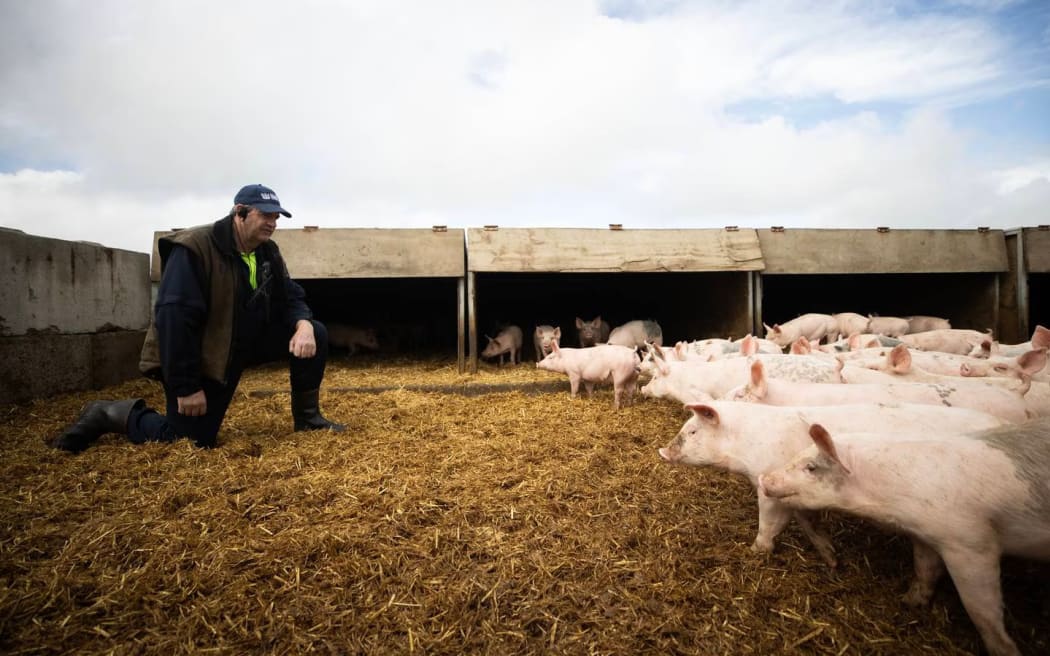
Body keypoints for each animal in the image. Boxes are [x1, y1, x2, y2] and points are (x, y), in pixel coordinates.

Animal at [655, 398, 999, 566]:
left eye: (693, 431)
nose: (662, 451)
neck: (745, 444)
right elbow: (808, 523)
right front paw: (832, 559)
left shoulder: (770, 483)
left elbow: (770, 522)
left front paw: (755, 552)